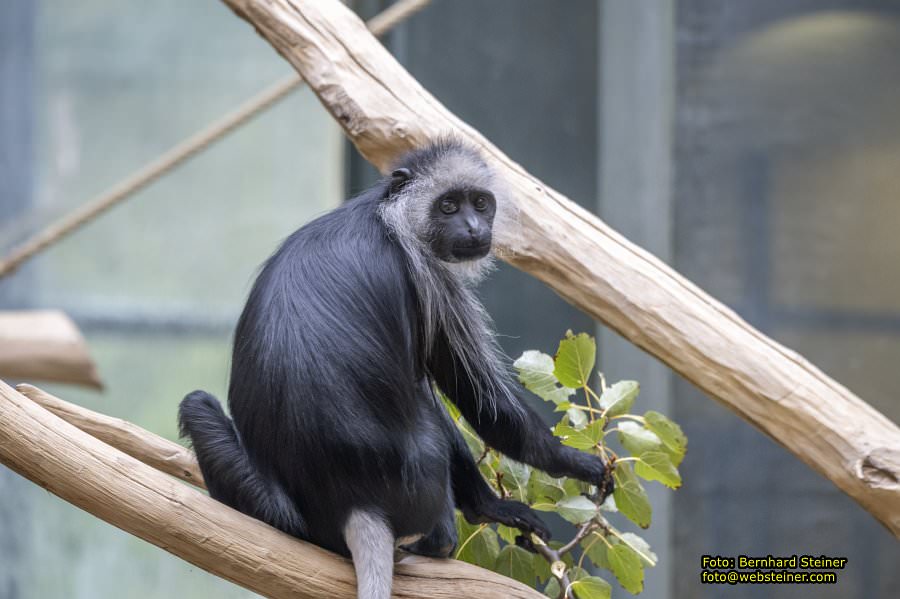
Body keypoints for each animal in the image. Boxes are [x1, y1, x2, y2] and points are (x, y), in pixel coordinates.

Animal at [178, 139, 612, 599]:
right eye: (448, 206)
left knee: (198, 405)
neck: (386, 213)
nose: (474, 228)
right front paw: (575, 462)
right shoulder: (429, 274)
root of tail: (354, 501)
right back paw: (468, 520)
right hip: (421, 486)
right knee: (431, 407)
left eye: (480, 203)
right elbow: (480, 401)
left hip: (274, 506)